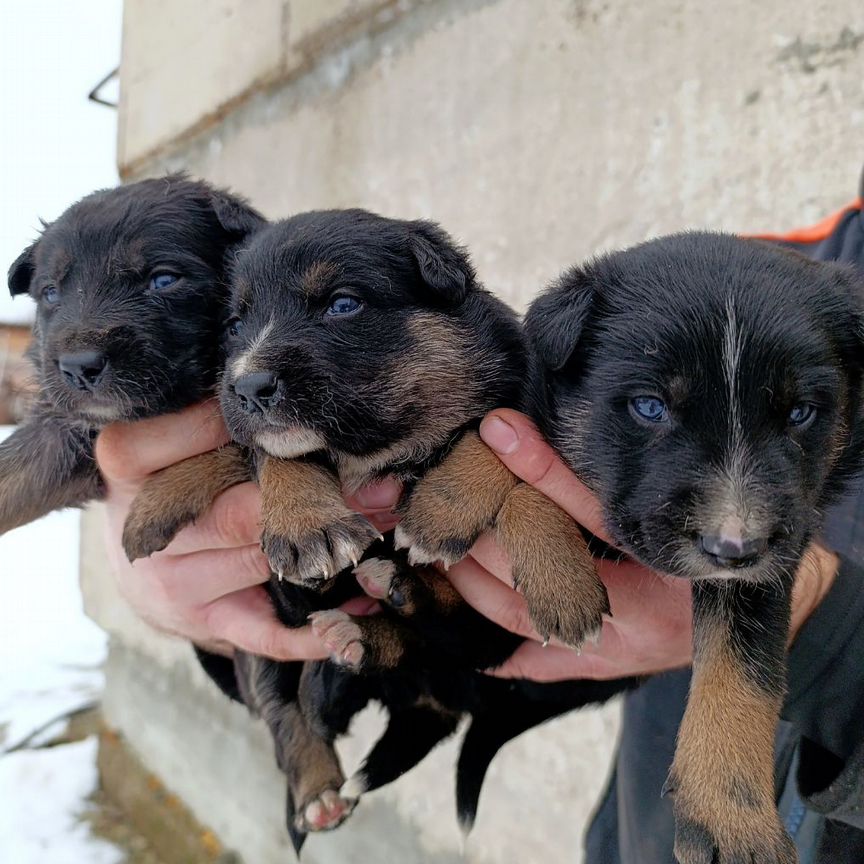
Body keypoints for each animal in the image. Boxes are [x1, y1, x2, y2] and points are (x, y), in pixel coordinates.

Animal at [524, 231, 864, 864]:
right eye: (650, 406)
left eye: (800, 413)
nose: (734, 547)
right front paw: (558, 578)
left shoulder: (769, 562)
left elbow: (743, 664)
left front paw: (731, 819)